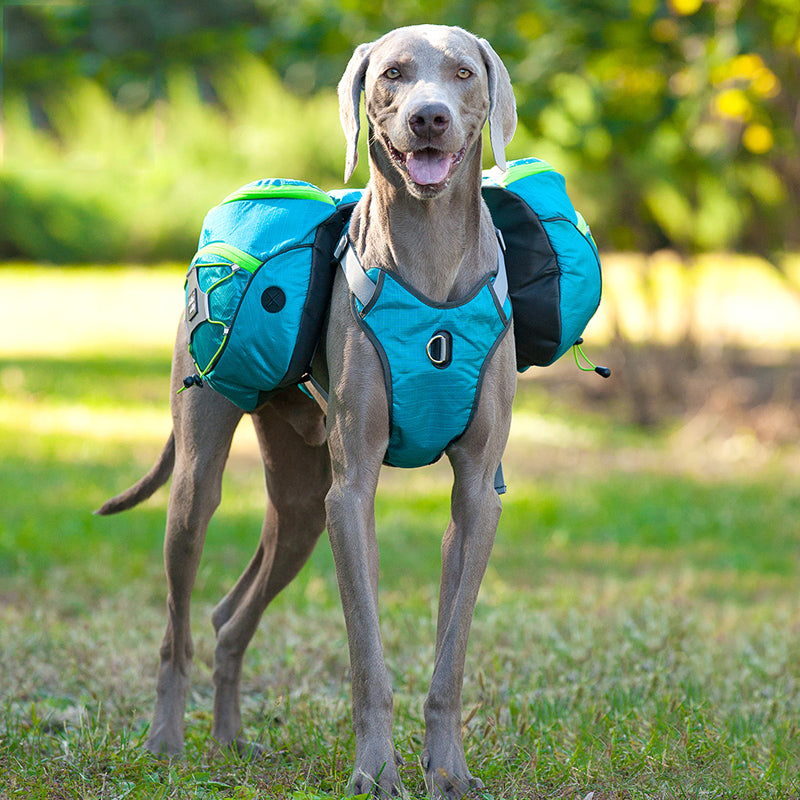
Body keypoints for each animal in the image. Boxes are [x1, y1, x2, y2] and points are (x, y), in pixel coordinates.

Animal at [97, 25, 520, 800]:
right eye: (393, 74)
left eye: (462, 74)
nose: (430, 118)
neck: (430, 259)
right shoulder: (351, 494)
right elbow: (367, 656)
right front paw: (376, 770)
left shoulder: (478, 491)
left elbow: (450, 656)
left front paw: (448, 769)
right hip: (201, 484)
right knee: (179, 625)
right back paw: (166, 743)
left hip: (298, 505)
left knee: (229, 617)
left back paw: (231, 742)